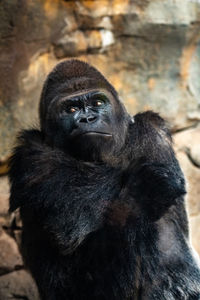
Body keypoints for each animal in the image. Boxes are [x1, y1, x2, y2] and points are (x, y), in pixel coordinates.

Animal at [8, 59, 200, 298]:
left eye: (98, 103)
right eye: (71, 109)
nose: (88, 119)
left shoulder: (151, 132)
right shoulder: (28, 155)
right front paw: (141, 192)